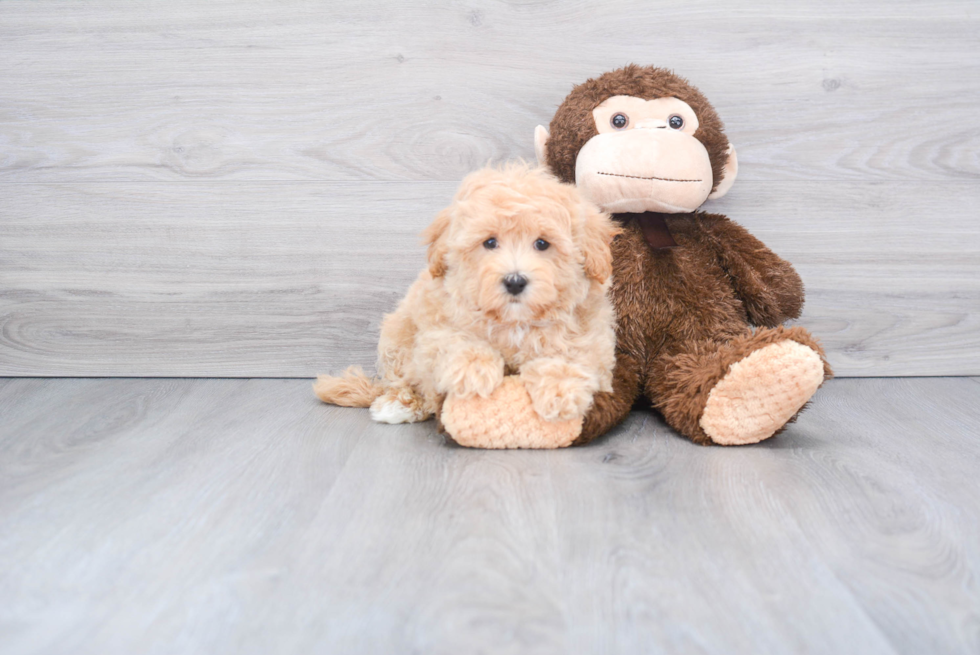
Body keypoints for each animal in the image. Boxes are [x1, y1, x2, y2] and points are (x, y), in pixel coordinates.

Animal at [316, 164, 620, 426]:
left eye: (543, 244)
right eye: (490, 242)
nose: (514, 282)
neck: (514, 322)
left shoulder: (590, 335)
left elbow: (570, 354)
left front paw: (559, 390)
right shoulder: (437, 325)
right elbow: (456, 342)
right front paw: (473, 372)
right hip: (396, 336)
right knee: (403, 381)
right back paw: (399, 403)